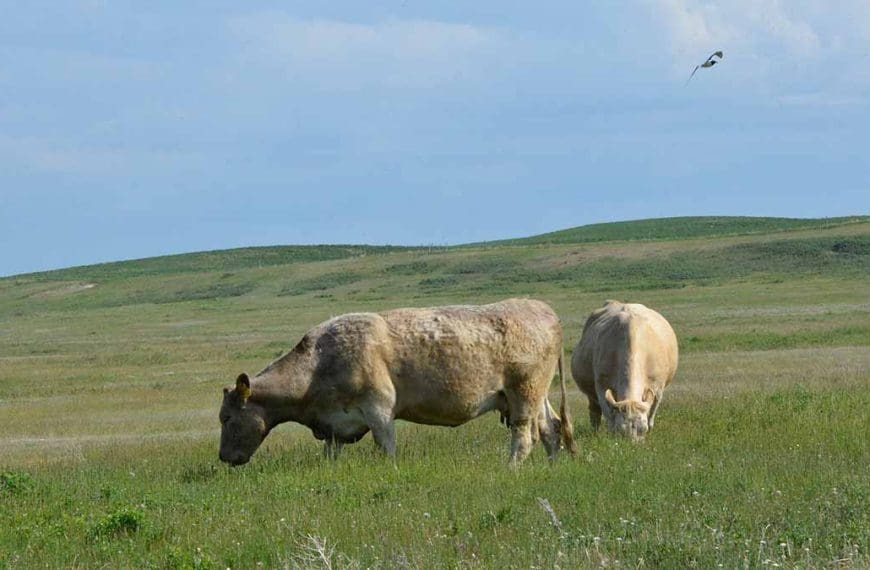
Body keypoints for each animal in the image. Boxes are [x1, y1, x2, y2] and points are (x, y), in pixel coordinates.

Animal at [219, 298, 576, 466]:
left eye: (227, 417)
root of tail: (542, 309)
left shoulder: (378, 409)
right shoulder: (335, 424)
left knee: (525, 436)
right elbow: (330, 454)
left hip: (524, 394)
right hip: (536, 395)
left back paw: (510, 468)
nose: (223, 457)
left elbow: (386, 447)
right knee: (551, 428)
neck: (317, 366)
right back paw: (552, 466)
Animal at [570, 300, 678, 440]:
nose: (631, 445)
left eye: (643, 429)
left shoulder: (657, 388)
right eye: (620, 430)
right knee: (594, 412)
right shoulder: (601, 385)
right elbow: (608, 414)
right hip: (590, 392)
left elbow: (651, 414)